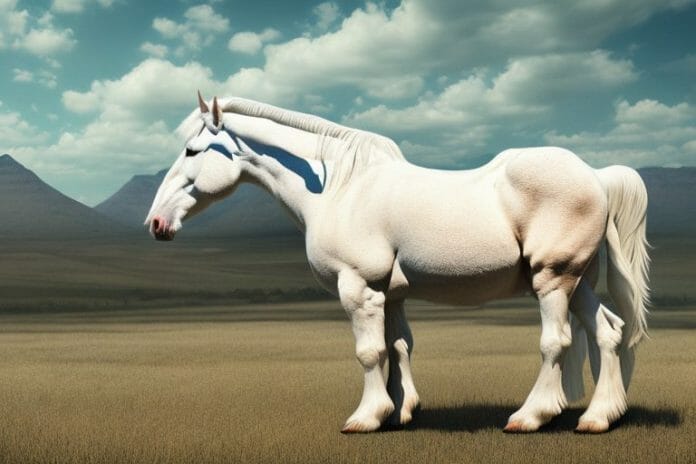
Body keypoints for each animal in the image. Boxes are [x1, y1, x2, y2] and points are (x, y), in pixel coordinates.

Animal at [146, 92, 650, 434]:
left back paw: (530, 416)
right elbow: (400, 346)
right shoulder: (389, 294)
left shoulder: (359, 287)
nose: (156, 223)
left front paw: (366, 417)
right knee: (608, 333)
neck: (341, 188)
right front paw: (401, 410)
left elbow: (370, 352)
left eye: (192, 151)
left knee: (556, 342)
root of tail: (597, 176)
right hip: (577, 284)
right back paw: (599, 417)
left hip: (552, 281)